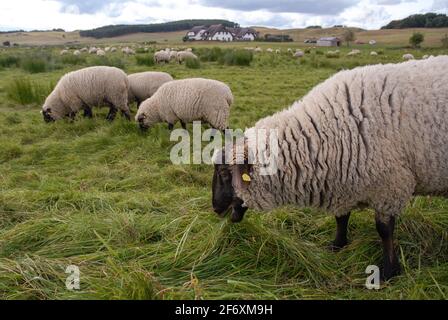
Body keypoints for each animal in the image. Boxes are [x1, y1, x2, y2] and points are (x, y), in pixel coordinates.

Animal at [212, 56, 448, 282]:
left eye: (224, 173)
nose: (215, 208)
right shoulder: (342, 178)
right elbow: (341, 217)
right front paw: (337, 245)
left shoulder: (390, 186)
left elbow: (384, 230)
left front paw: (389, 271)